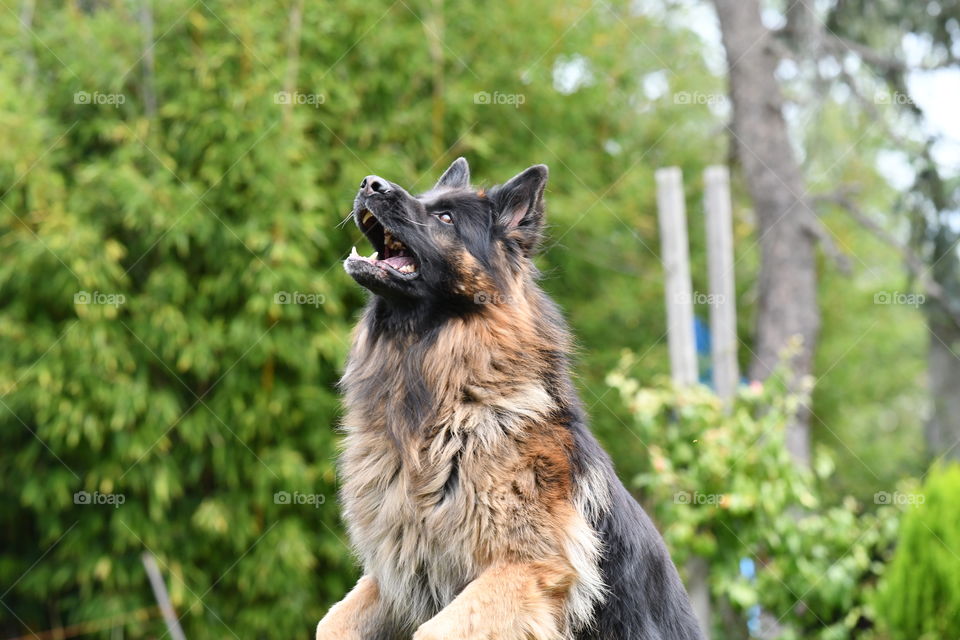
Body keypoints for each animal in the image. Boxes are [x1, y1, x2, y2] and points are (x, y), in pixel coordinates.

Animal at [318, 160, 700, 640]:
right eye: (424, 201)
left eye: (445, 218)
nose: (371, 184)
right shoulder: (400, 575)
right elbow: (330, 623)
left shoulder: (527, 568)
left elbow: (433, 631)